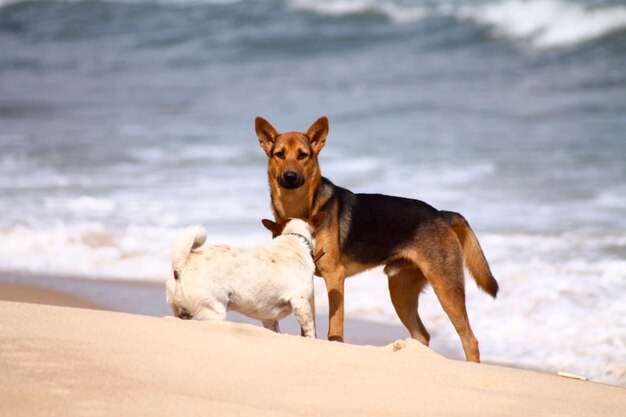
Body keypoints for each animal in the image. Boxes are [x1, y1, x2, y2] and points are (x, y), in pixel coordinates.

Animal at [163, 213, 324, 336]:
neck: (293, 239)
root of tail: (182, 265)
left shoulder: (269, 318)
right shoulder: (300, 302)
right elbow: (310, 329)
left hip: (180, 311)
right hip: (214, 312)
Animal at [254, 114, 498, 360]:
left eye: (303, 155)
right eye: (280, 154)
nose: (290, 177)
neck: (301, 208)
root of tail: (441, 214)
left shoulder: (335, 277)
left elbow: (335, 330)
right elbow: (307, 330)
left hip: (446, 287)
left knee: (470, 340)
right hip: (401, 291)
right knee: (421, 336)